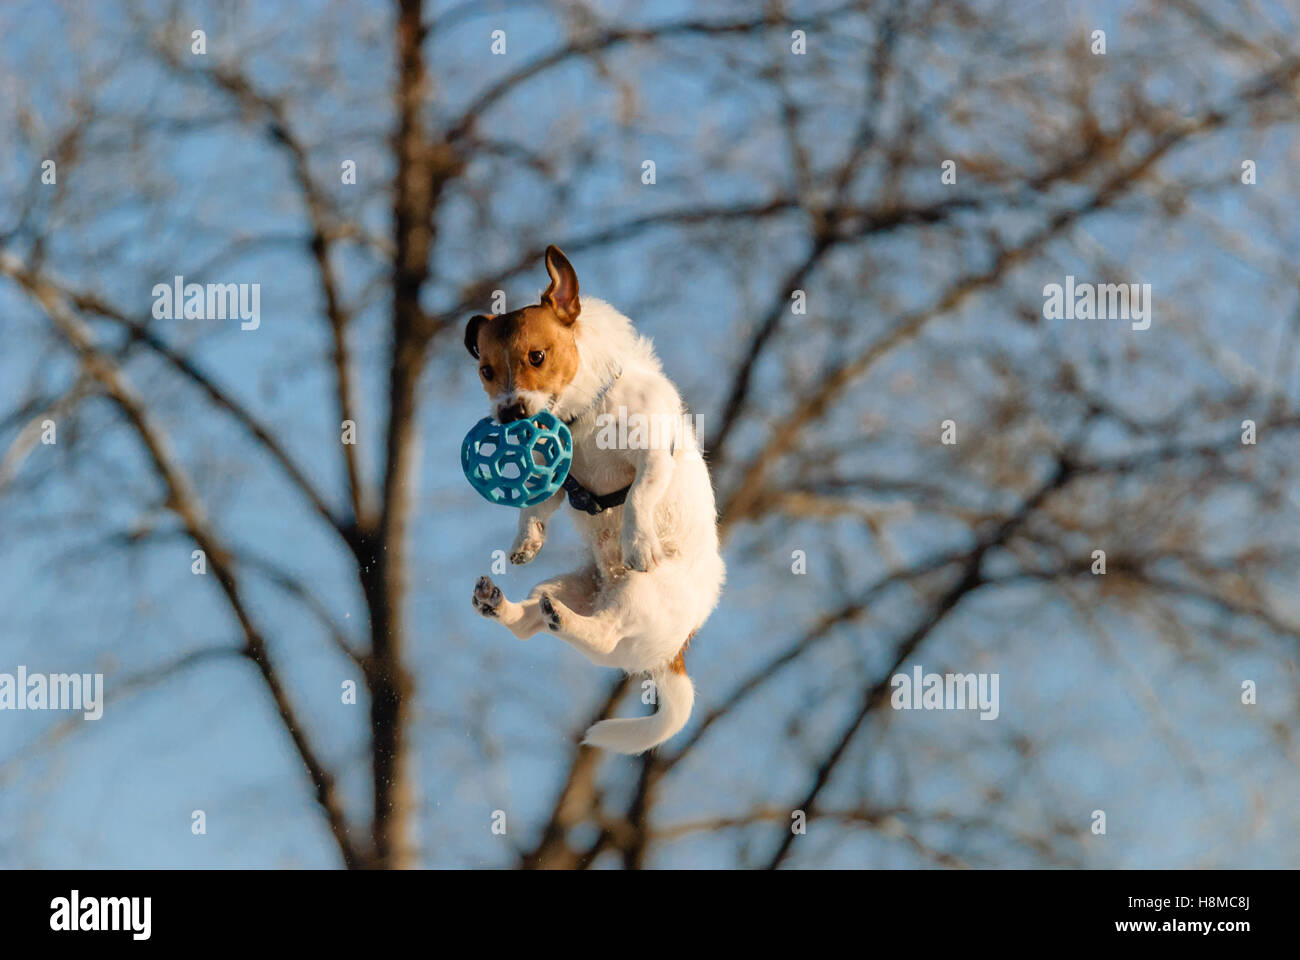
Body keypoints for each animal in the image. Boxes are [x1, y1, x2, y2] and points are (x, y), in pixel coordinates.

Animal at [467, 243, 728, 749]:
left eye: (537, 356)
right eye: (486, 371)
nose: (509, 413)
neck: (582, 416)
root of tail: (675, 654)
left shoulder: (652, 457)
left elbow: (640, 495)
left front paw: (637, 542)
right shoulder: (556, 481)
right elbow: (534, 506)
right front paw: (526, 540)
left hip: (640, 596)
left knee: (604, 634)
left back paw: (565, 619)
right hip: (571, 583)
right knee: (529, 624)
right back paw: (504, 605)